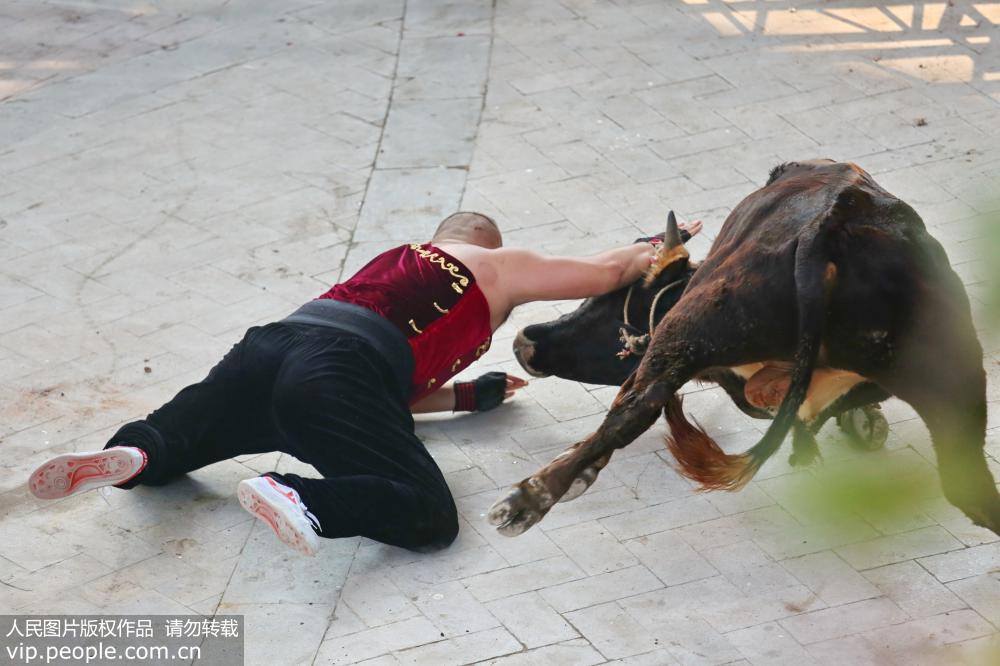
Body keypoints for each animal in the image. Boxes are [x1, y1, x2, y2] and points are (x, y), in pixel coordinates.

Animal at [488, 160, 996, 536]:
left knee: (639, 403)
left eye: (608, 304)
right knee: (971, 491)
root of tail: (830, 227)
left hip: (689, 330)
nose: (526, 340)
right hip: (952, 378)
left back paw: (527, 499)